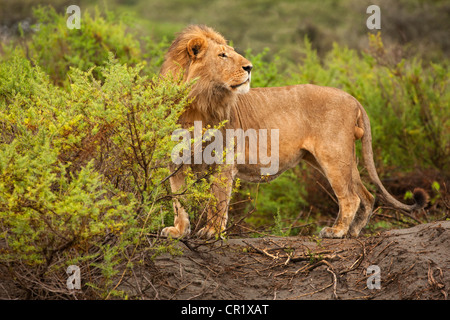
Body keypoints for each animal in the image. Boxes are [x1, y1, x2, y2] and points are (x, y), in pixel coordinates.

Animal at [159, 25, 428, 239]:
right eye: (222, 55)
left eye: (231, 52)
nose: (249, 67)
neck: (196, 103)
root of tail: (352, 98)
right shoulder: (176, 160)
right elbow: (177, 199)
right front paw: (179, 231)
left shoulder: (223, 159)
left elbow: (217, 199)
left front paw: (211, 232)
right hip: (339, 158)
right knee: (367, 195)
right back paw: (353, 231)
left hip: (333, 155)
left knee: (351, 197)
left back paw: (337, 231)